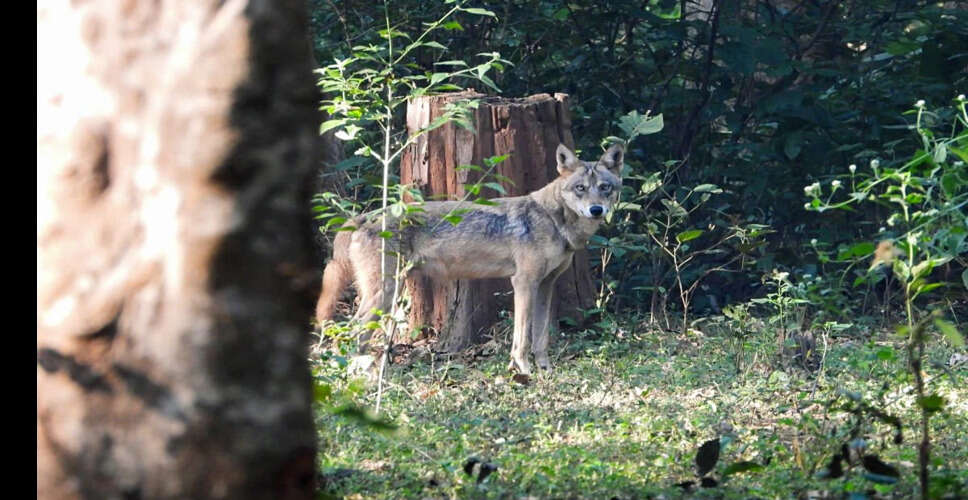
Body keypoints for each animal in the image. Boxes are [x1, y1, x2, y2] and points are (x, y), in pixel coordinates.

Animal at [315, 143, 624, 375]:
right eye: (580, 188)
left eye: (605, 188)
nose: (596, 210)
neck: (553, 219)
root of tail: (362, 216)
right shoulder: (523, 282)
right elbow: (522, 338)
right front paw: (523, 370)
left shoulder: (545, 285)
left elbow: (540, 338)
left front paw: (545, 370)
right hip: (386, 293)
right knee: (353, 330)